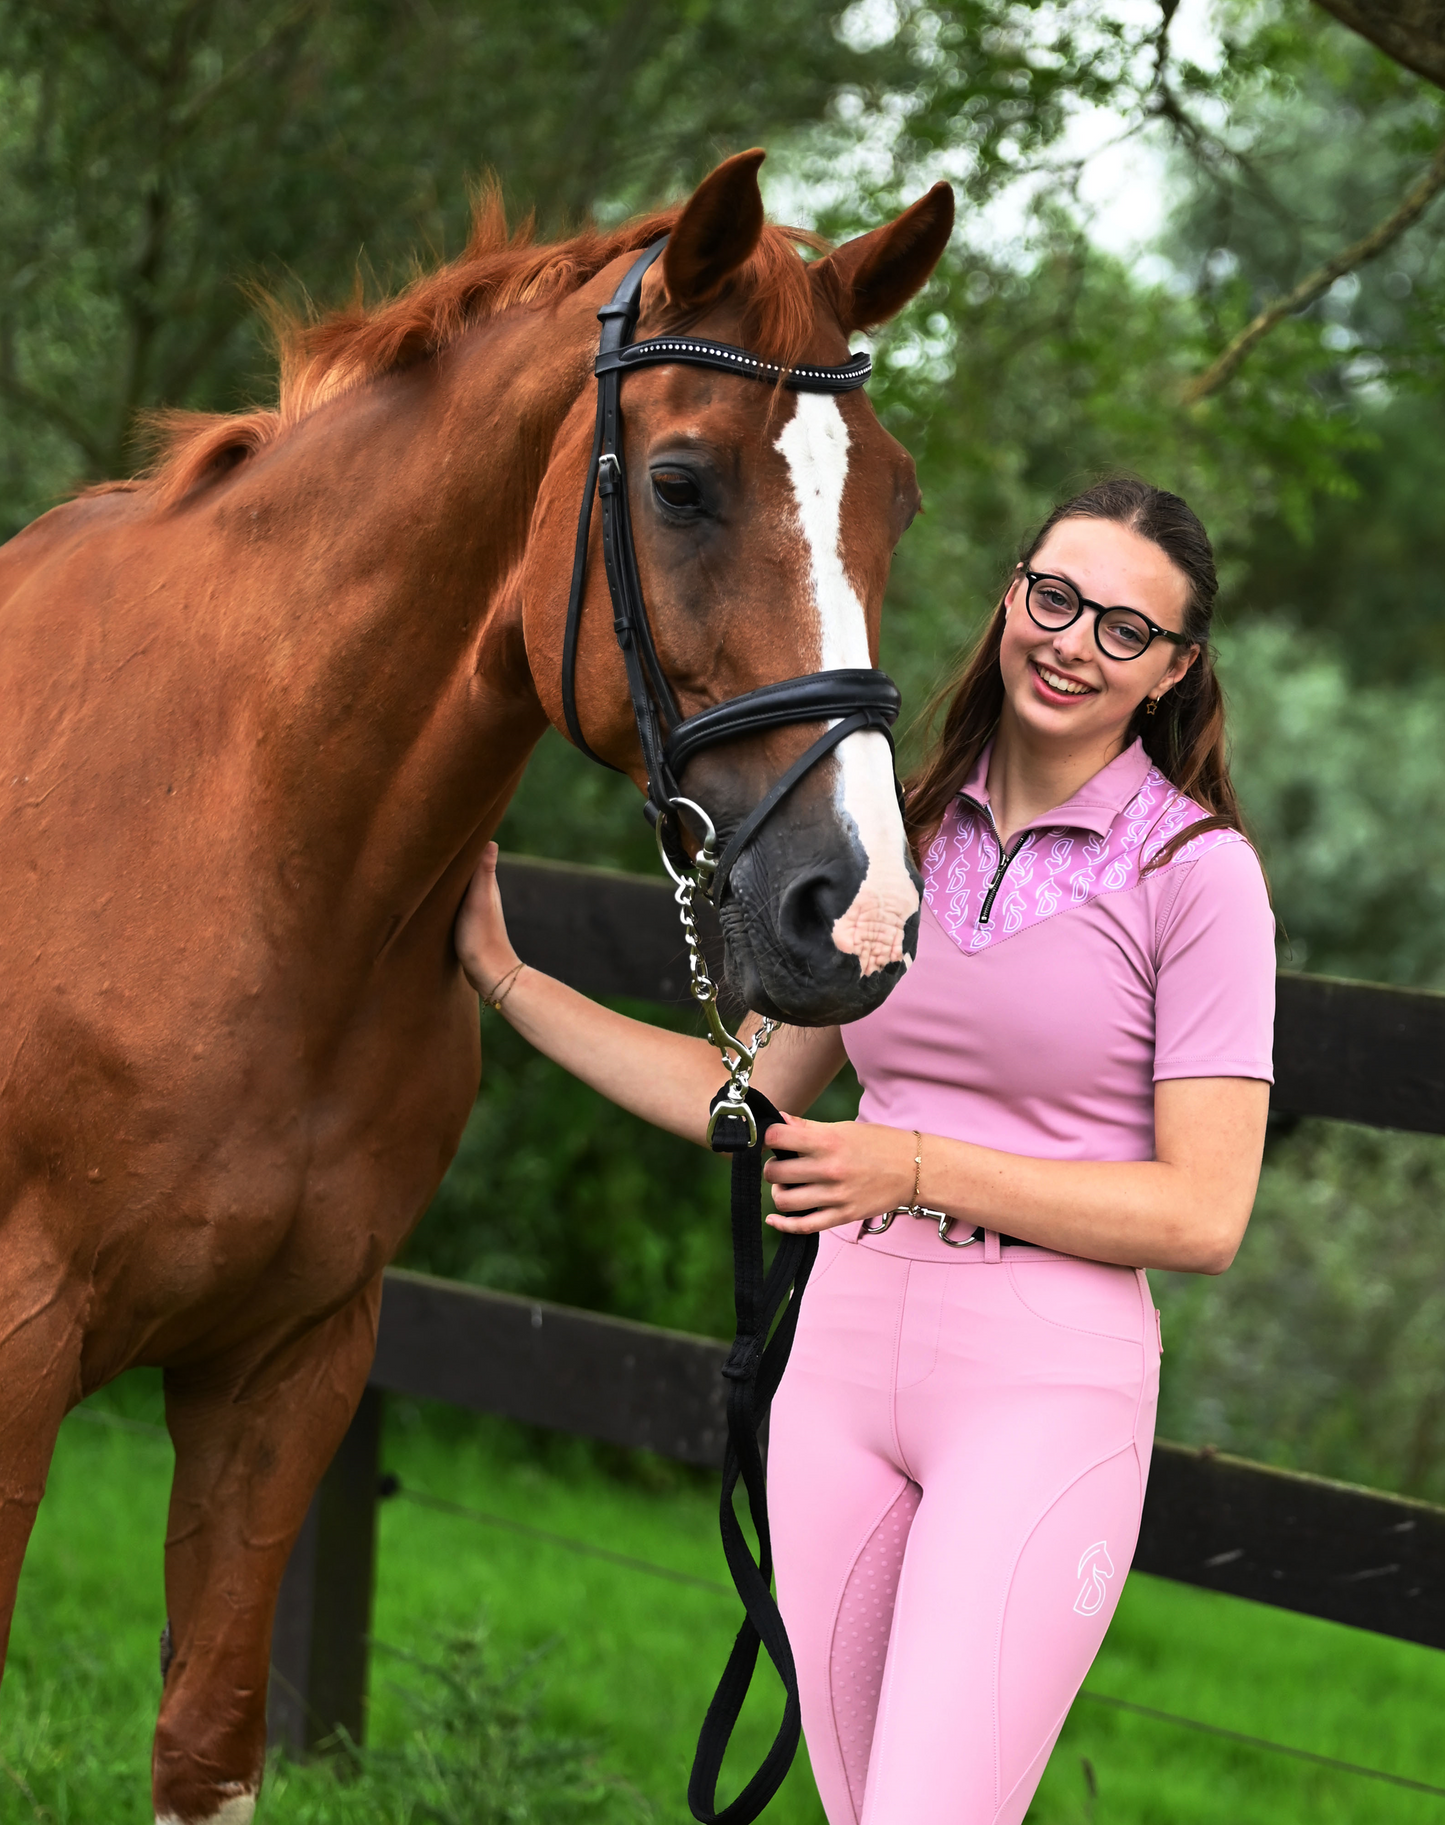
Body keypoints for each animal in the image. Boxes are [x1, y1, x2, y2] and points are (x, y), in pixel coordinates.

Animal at [0, 149, 956, 1817]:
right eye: (680, 483)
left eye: (891, 495)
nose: (857, 915)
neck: (238, 844)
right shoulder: (14, 1355)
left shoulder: (290, 1373)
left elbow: (208, 1743)